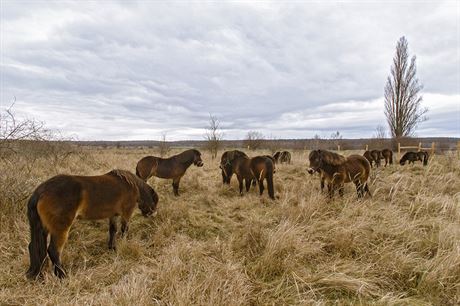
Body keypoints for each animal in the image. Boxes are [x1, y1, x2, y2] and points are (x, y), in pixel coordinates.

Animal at [27, 170, 160, 280]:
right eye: (155, 201)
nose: (152, 214)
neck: (132, 185)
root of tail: (40, 191)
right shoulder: (126, 213)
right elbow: (124, 229)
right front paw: (123, 244)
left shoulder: (113, 215)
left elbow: (113, 230)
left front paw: (112, 248)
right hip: (60, 229)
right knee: (54, 251)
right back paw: (62, 275)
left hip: (43, 228)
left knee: (33, 247)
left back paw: (37, 274)